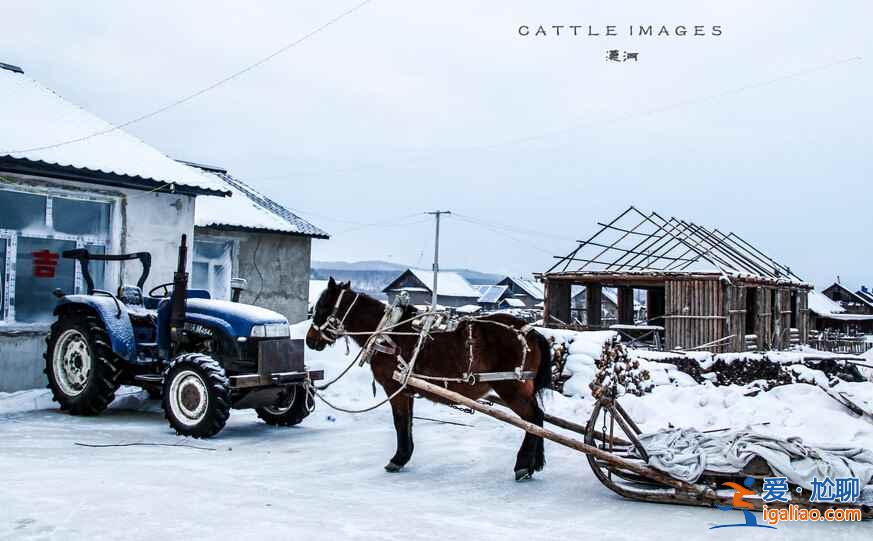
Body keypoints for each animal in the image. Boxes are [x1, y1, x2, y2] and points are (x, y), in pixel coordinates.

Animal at [306, 278, 552, 476]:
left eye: (323, 306)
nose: (309, 340)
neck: (389, 333)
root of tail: (530, 331)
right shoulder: (407, 388)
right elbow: (407, 422)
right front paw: (404, 455)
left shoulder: (394, 387)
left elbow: (400, 421)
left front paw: (398, 459)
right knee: (538, 418)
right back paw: (534, 463)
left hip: (511, 387)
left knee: (532, 419)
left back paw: (523, 465)